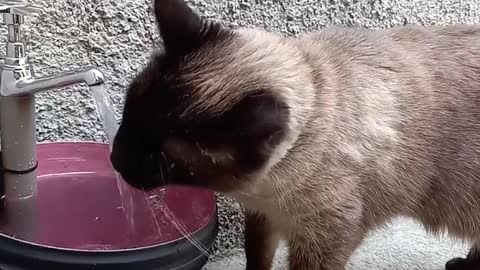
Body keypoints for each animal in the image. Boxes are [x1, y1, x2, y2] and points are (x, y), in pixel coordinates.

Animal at [109, 0, 480, 268]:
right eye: (128, 114)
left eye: (160, 158)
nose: (114, 159)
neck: (267, 188)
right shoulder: (263, 217)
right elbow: (257, 259)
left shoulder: (323, 238)